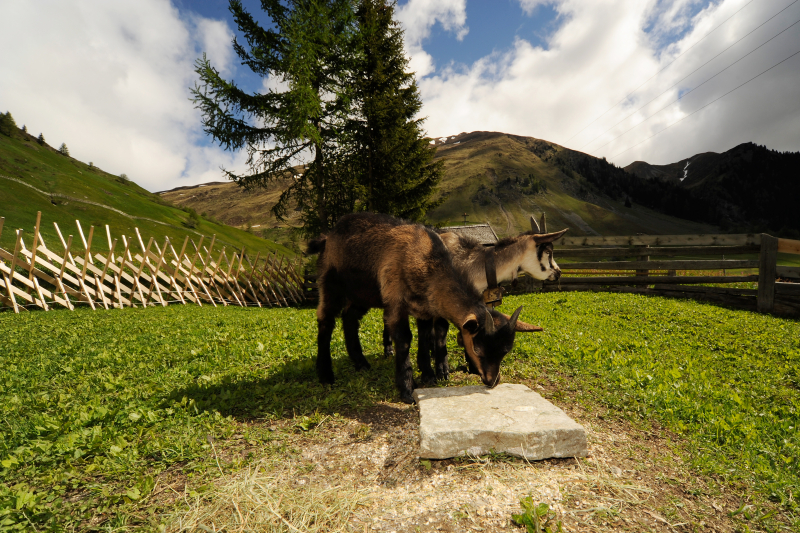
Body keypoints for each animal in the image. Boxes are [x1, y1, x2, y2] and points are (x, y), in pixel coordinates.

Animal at [308, 212, 524, 404]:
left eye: (505, 351)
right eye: (477, 349)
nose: (492, 381)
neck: (426, 260)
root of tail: (327, 237)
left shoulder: (425, 309)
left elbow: (425, 336)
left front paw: (428, 375)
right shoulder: (395, 301)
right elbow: (405, 339)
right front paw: (407, 388)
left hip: (362, 294)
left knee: (350, 318)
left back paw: (361, 363)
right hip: (330, 284)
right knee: (326, 321)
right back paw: (326, 375)